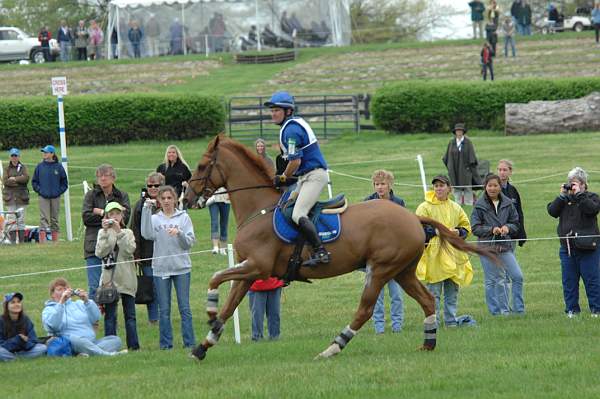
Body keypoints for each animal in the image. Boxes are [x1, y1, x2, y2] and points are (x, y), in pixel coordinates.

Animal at [185, 137, 494, 362]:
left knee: (365, 310)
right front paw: (204, 343)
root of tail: (413, 217)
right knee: (428, 301)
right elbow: (229, 303)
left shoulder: (257, 266)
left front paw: (210, 313)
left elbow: (215, 278)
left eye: (200, 166)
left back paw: (333, 347)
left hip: (380, 269)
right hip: (402, 271)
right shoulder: (249, 271)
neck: (258, 209)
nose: (186, 198)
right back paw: (428, 343)